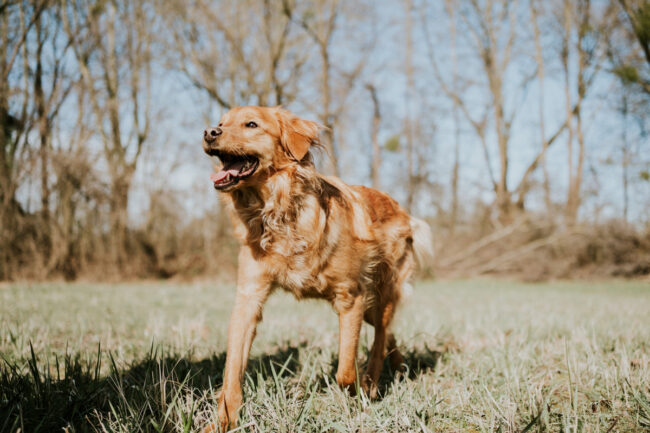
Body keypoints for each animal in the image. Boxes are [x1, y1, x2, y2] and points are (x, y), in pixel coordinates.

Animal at [201, 104, 430, 428]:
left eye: (251, 124)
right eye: (221, 122)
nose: (210, 132)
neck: (280, 212)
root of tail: (401, 209)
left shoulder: (351, 297)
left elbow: (345, 370)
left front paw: (358, 390)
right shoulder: (248, 297)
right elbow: (232, 370)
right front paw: (224, 421)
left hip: (382, 293)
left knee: (381, 338)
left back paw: (372, 382)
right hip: (371, 307)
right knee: (387, 334)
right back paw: (396, 367)